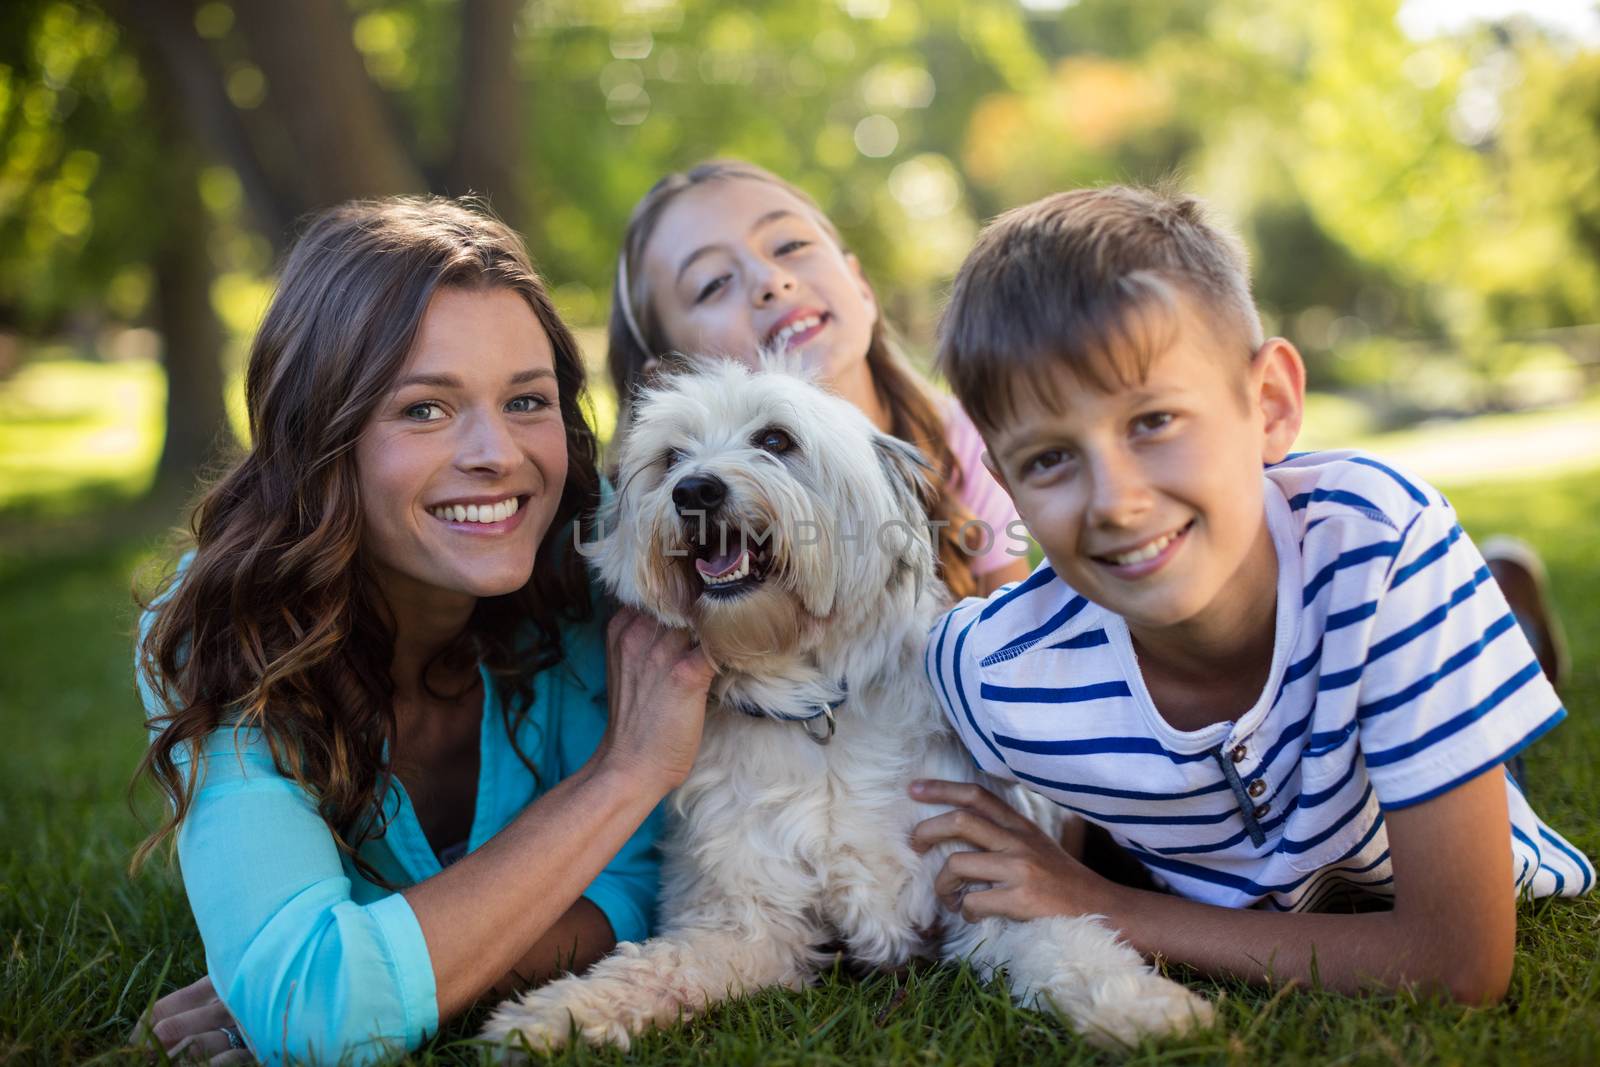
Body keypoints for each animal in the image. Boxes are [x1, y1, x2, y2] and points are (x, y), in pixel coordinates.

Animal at [480, 363, 1203, 1055]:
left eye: (776, 440)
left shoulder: (986, 881)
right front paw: (554, 1015)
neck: (810, 710)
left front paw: (1153, 1010)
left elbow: (1072, 945)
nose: (694, 491)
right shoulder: (748, 926)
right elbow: (652, 968)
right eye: (671, 457)